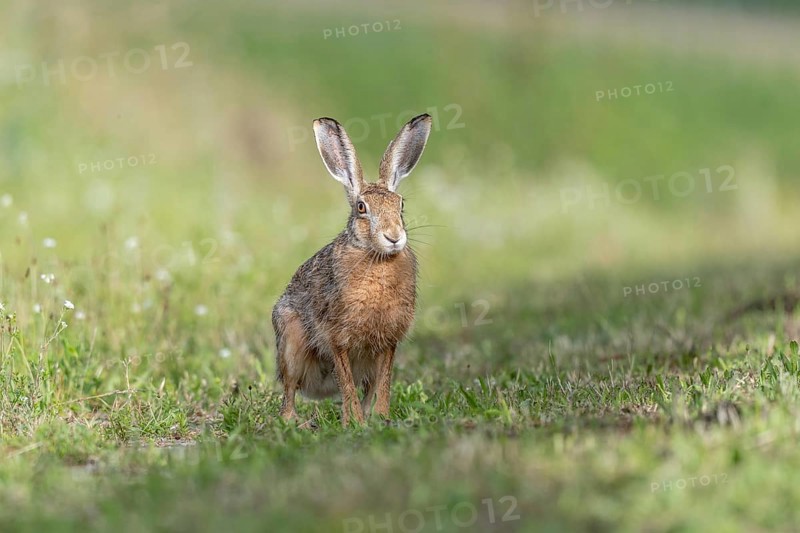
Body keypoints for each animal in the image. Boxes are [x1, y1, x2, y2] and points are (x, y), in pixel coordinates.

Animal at [272, 113, 433, 426]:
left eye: (401, 205)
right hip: (291, 343)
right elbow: (346, 382)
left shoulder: (389, 341)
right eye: (361, 207)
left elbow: (384, 381)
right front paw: (355, 423)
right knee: (290, 389)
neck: (376, 257)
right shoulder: (337, 339)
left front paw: (379, 418)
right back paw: (295, 421)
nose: (394, 237)